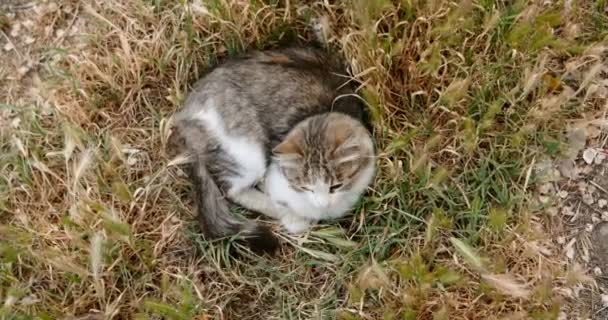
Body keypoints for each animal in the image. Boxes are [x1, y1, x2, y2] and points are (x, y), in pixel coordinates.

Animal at [171, 46, 376, 254]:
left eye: (335, 186)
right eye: (306, 186)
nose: (322, 203)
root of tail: (186, 108)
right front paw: (294, 218)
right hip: (247, 153)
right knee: (232, 190)